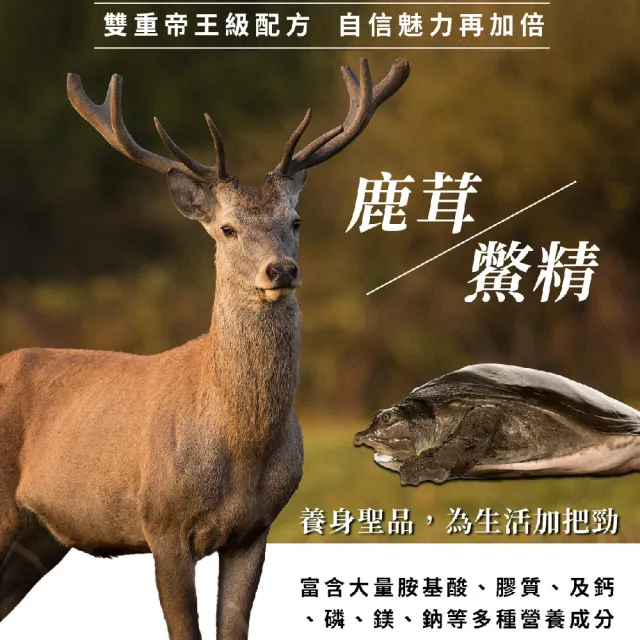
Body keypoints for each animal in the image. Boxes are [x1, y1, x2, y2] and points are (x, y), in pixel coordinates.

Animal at [0, 57, 410, 639]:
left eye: (295, 221)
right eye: (228, 228)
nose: (282, 270)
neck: (240, 448)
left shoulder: (255, 530)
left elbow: (233, 627)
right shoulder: (163, 523)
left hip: (41, 537)